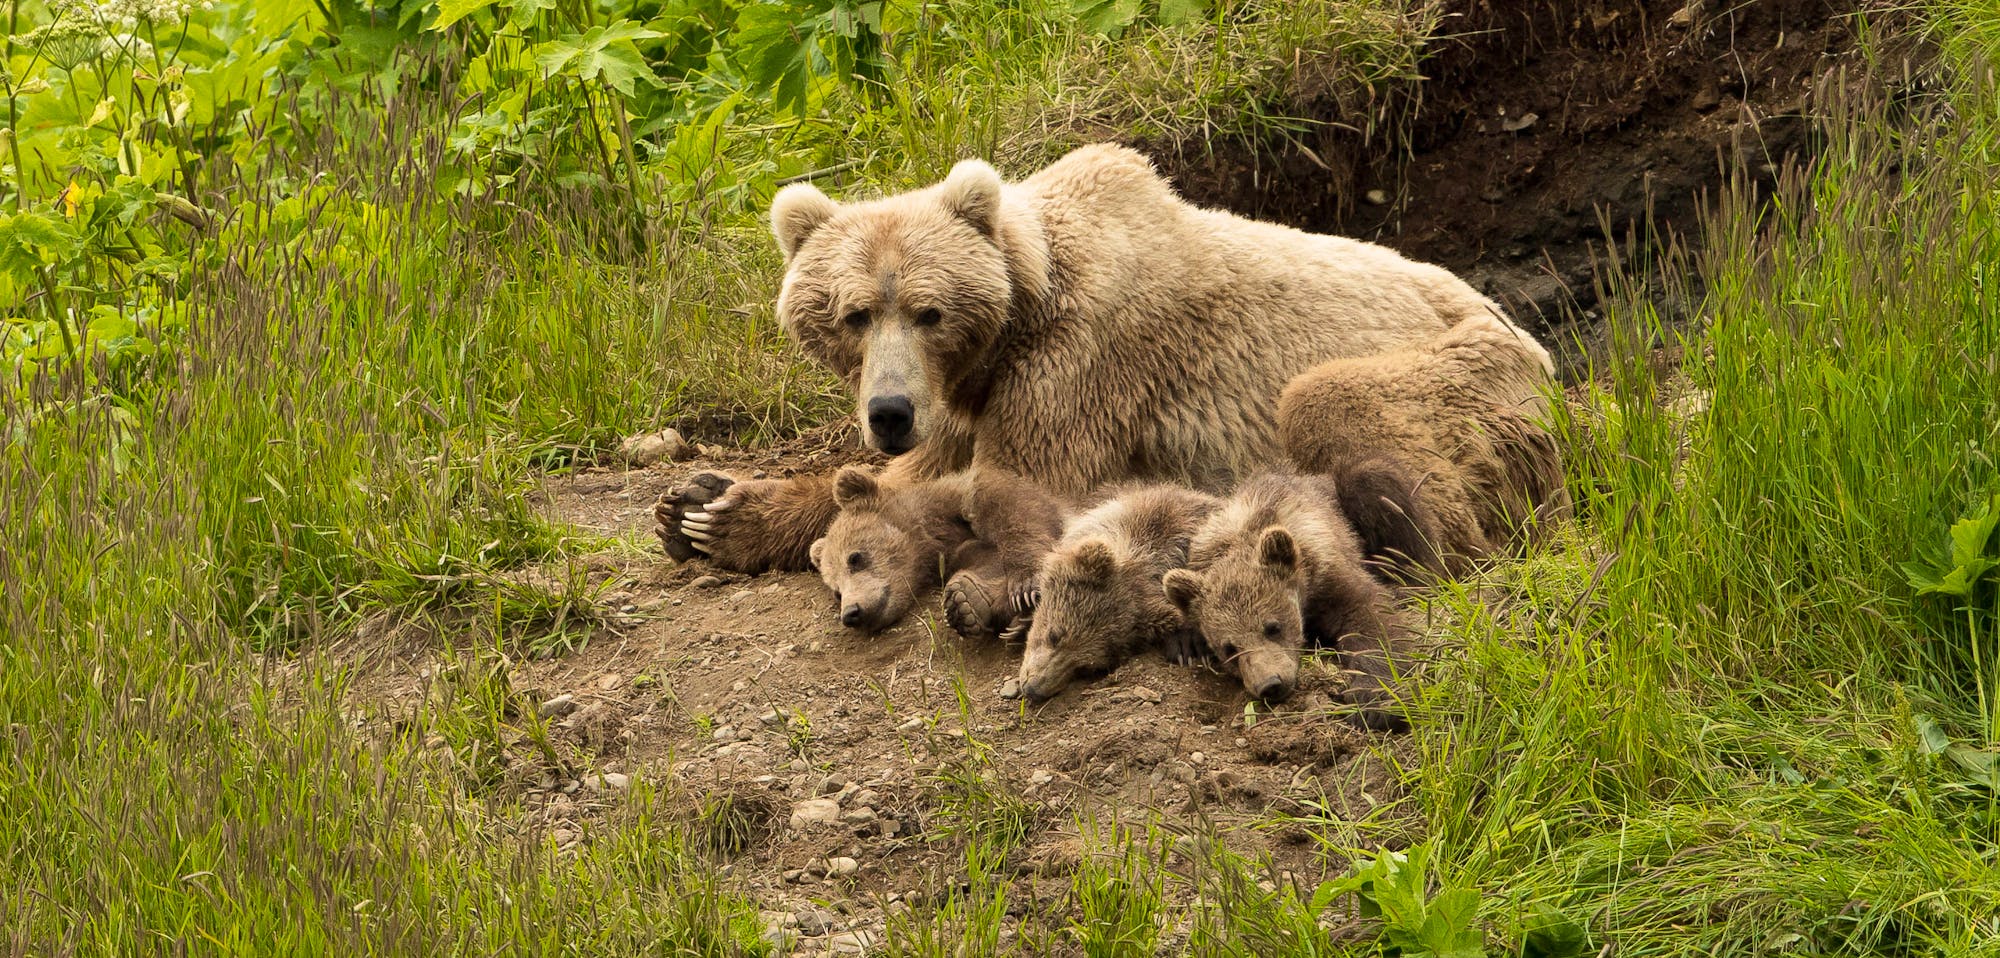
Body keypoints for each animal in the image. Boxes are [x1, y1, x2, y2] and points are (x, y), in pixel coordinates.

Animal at [652, 146, 1544, 572]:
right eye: (854, 314)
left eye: (929, 311)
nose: (890, 412)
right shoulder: (964, 396)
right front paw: (702, 506)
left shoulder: (1078, 369)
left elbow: (1013, 488)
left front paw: (722, 514)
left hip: (1476, 370)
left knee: (1335, 403)